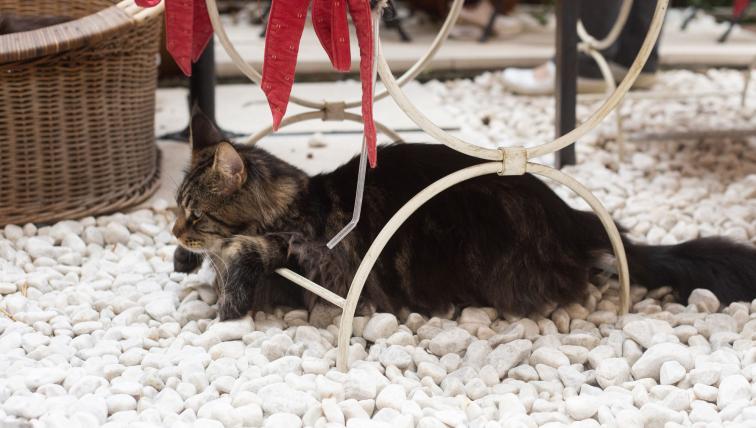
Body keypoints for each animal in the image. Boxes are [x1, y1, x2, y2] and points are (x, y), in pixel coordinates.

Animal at [173, 109, 756, 321]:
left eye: (195, 215)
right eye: (176, 211)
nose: (173, 231)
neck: (296, 198)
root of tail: (570, 216)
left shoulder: (312, 252)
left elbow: (246, 250)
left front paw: (227, 299)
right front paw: (186, 264)